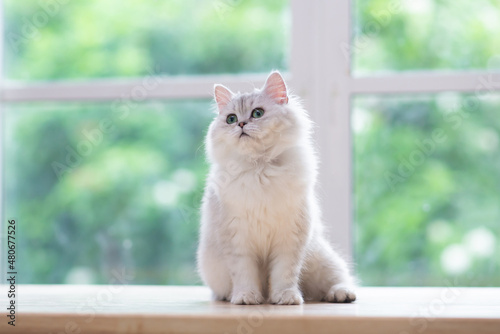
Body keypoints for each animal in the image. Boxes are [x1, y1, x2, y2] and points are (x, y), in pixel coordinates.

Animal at [197, 71, 358, 306]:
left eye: (257, 113)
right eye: (231, 119)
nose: (241, 124)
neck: (260, 168)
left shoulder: (289, 239)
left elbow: (284, 274)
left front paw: (285, 298)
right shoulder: (237, 241)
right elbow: (244, 274)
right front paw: (246, 298)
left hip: (322, 260)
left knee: (336, 280)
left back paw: (341, 294)